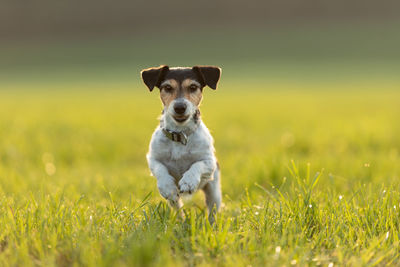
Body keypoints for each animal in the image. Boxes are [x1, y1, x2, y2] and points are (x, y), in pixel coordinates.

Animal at [141, 65, 222, 222]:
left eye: (193, 87)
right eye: (167, 87)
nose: (179, 107)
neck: (179, 135)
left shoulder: (209, 162)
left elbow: (197, 165)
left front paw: (188, 181)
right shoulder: (153, 159)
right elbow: (160, 169)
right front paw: (167, 186)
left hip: (214, 191)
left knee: (212, 209)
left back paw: (211, 224)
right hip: (175, 201)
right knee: (177, 206)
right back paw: (180, 220)